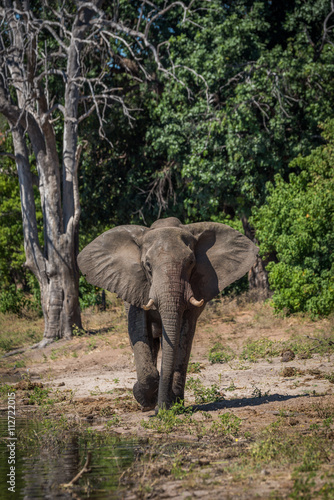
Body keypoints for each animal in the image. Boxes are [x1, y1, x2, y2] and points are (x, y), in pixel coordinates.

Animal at [78, 218, 258, 410]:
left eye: (191, 262)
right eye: (148, 265)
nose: (161, 409)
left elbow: (183, 336)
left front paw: (172, 404)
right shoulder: (134, 287)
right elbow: (138, 331)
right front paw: (146, 399)